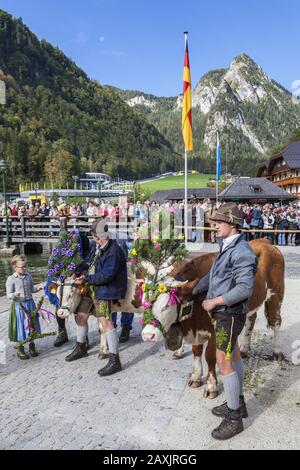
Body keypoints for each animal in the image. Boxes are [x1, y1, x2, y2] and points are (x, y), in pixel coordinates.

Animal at [142, 239, 284, 396]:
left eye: (167, 305)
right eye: (144, 303)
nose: (148, 335)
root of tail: (264, 241)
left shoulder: (216, 330)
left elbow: (209, 356)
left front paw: (211, 386)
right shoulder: (196, 328)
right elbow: (196, 351)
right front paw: (196, 377)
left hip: (276, 294)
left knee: (276, 322)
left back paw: (277, 352)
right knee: (250, 321)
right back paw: (244, 349)